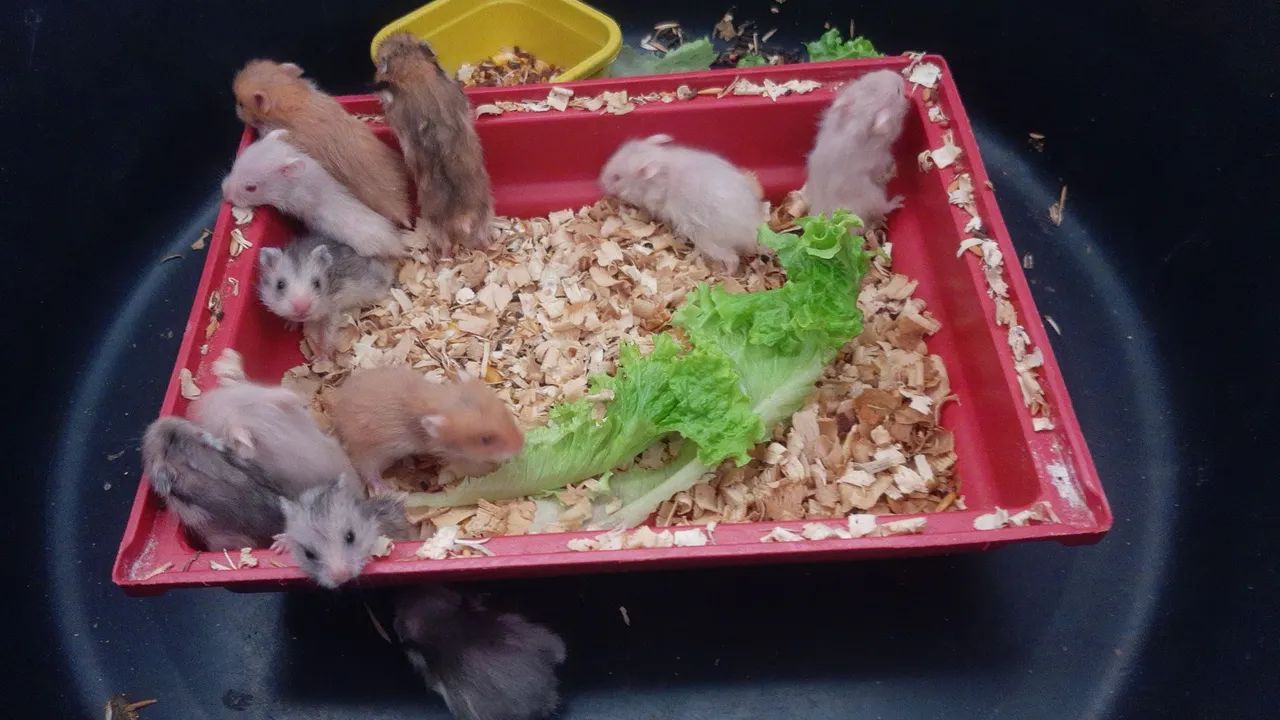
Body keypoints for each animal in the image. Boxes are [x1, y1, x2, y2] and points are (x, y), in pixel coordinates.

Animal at [256, 233, 394, 357]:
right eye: (280, 285)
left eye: (317, 283)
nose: (302, 308)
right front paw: (289, 326)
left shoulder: (332, 311)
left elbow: (327, 333)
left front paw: (324, 355)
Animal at [331, 367, 524, 488]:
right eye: (485, 440)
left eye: (505, 412)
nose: (521, 445)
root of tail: (336, 401)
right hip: (369, 453)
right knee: (367, 472)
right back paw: (386, 488)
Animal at [600, 134, 765, 273]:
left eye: (617, 177)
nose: (600, 182)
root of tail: (751, 233)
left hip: (709, 241)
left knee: (733, 259)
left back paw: (726, 273)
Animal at [805, 69, 910, 223]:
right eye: (898, 91)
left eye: (866, 76)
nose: (898, 75)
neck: (857, 119)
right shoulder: (880, 158)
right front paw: (892, 171)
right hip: (873, 195)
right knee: (883, 207)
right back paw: (898, 201)